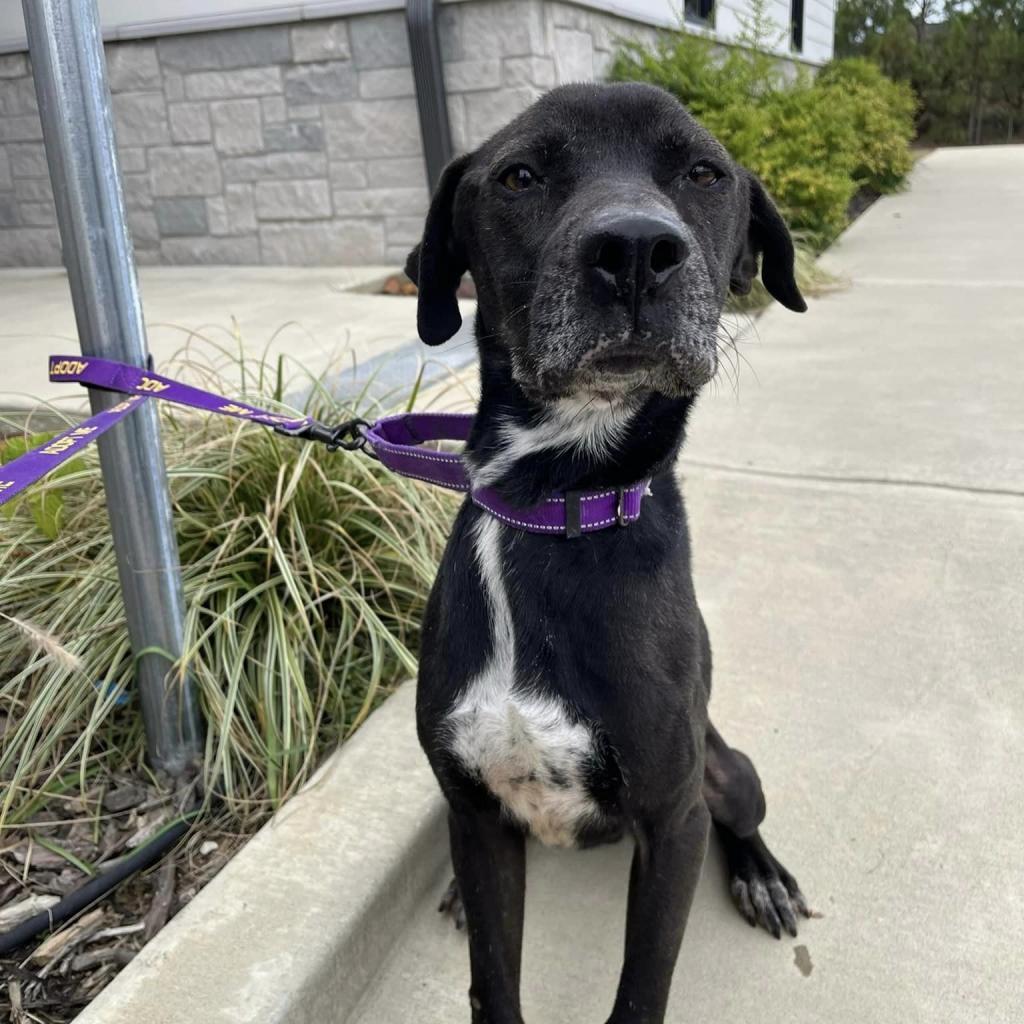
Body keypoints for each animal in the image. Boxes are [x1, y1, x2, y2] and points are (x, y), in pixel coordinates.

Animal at [403, 86, 811, 1024]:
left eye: (705, 173)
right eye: (519, 175)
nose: (634, 251)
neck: (555, 503)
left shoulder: (672, 816)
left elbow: (642, 987)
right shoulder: (476, 814)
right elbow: (493, 981)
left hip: (727, 770)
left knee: (741, 813)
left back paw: (763, 876)